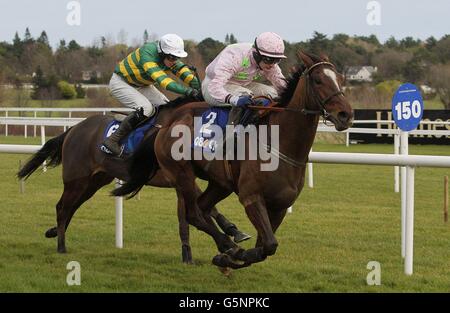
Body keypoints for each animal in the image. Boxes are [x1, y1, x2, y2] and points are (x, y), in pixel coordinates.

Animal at [16, 96, 250, 262]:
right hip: (76, 179)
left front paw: (234, 232)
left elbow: (202, 211)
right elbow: (198, 211)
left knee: (70, 206)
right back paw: (61, 246)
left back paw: (54, 232)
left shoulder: (181, 179)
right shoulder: (177, 176)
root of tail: (74, 128)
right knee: (63, 207)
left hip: (95, 181)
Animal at [113, 51, 356, 268]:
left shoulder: (280, 206)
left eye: (340, 79)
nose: (346, 114)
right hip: (182, 175)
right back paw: (227, 244)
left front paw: (231, 257)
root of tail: (165, 124)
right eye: (318, 80)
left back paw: (228, 242)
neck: (280, 142)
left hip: (220, 183)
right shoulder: (251, 198)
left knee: (202, 208)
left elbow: (265, 247)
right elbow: (269, 245)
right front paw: (233, 254)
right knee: (193, 213)